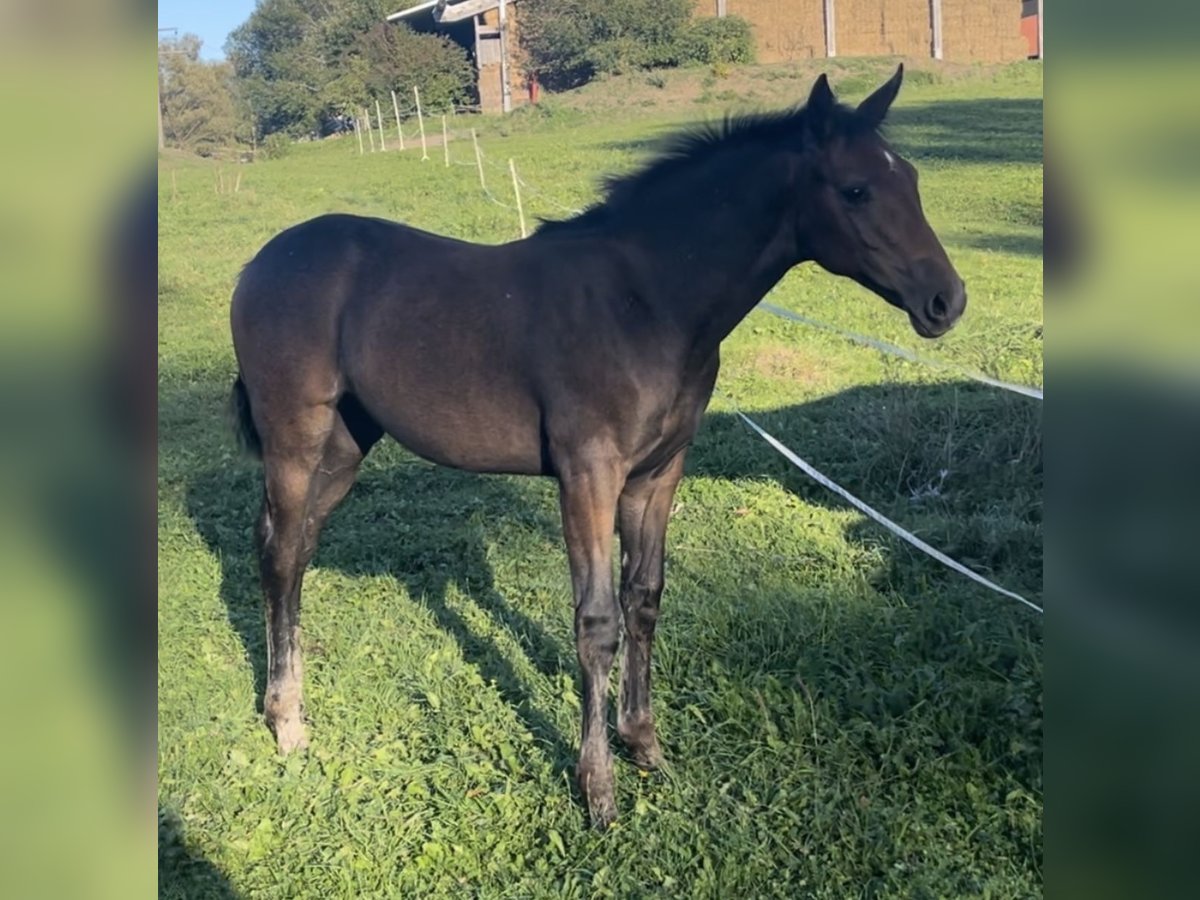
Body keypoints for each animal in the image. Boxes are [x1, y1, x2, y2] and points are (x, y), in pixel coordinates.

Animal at [231, 66, 964, 830]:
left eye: (911, 178)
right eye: (855, 190)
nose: (946, 299)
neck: (646, 302)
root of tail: (262, 261)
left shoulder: (658, 473)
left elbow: (645, 598)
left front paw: (645, 746)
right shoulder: (588, 474)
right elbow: (597, 621)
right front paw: (598, 789)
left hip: (346, 446)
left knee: (298, 551)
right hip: (295, 440)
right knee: (278, 552)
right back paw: (287, 721)